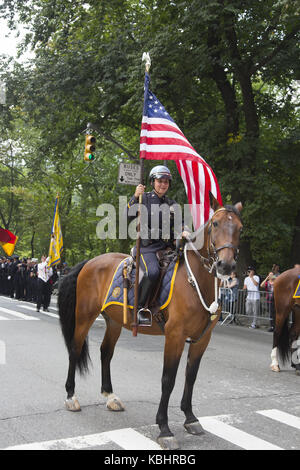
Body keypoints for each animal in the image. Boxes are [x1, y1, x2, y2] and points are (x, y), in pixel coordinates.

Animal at [57, 194, 243, 448]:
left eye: (240, 229)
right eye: (215, 224)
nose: (227, 265)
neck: (196, 281)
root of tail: (89, 262)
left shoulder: (202, 339)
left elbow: (191, 376)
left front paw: (190, 418)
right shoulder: (174, 336)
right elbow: (168, 380)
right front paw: (164, 428)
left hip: (114, 322)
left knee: (106, 352)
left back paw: (110, 396)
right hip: (84, 316)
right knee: (75, 350)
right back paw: (71, 396)